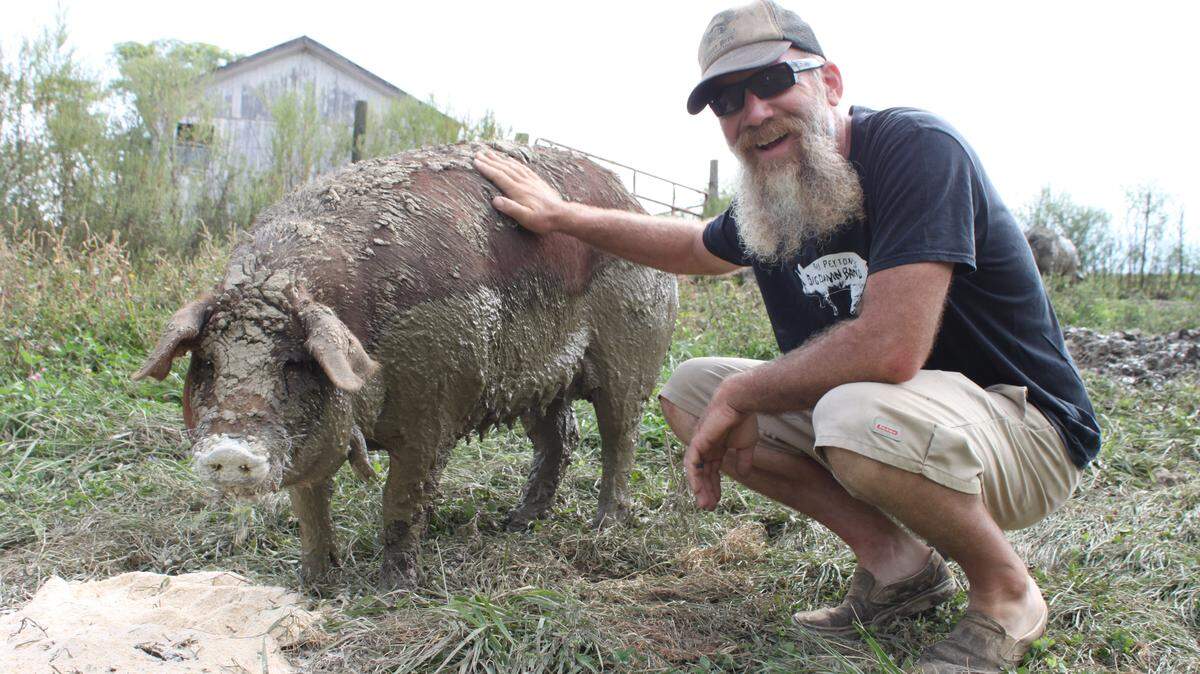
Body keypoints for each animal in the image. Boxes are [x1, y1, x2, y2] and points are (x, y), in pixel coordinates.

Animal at [133, 142, 678, 589]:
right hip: (539, 384)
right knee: (560, 438)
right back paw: (516, 523)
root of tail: (630, 200)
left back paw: (604, 525)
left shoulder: (433, 410)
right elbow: (309, 504)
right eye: (207, 363)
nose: (230, 448)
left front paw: (394, 588)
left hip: (635, 351)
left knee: (619, 435)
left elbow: (401, 499)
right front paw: (312, 585)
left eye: (292, 363)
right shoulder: (314, 442)